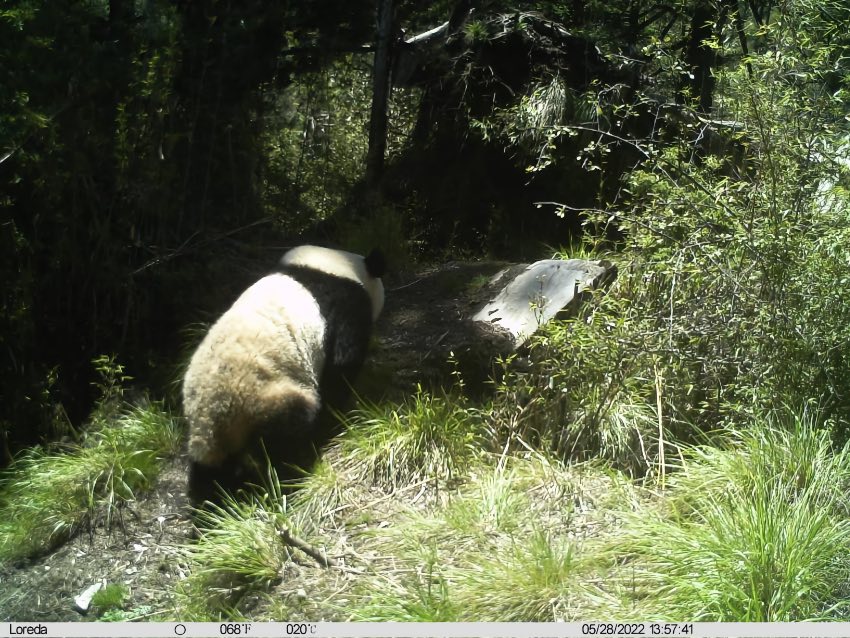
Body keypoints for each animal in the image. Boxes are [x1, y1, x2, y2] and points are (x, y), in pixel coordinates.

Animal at [184, 245, 386, 504]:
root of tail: (214, 416)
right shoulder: (346, 309)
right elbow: (342, 364)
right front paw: (338, 412)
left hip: (207, 430)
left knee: (208, 470)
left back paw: (218, 496)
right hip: (266, 395)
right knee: (287, 431)